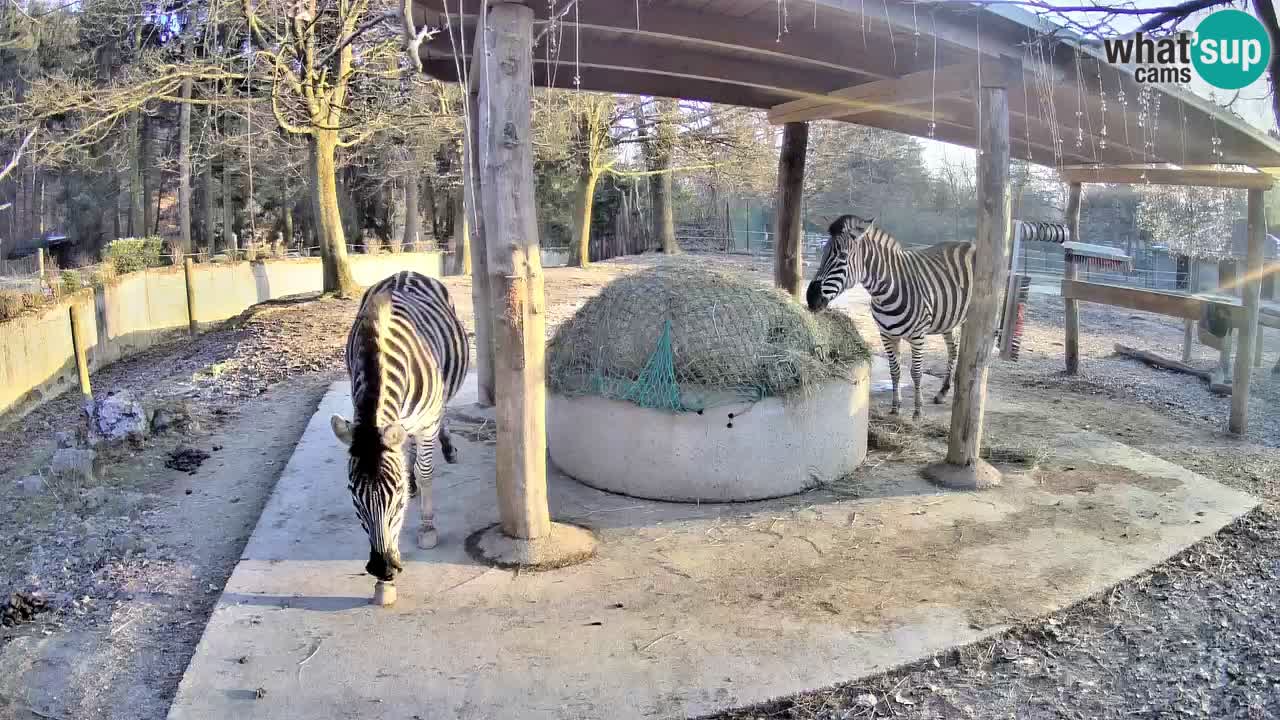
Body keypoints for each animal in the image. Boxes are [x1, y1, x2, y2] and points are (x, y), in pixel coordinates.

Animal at [330, 271, 471, 579]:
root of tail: (404, 272)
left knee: (441, 413)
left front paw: (427, 527)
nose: (383, 569)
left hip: (439, 397)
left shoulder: (427, 423)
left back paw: (447, 450)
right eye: (353, 495)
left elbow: (426, 471)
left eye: (395, 496)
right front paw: (410, 481)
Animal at [808, 210, 1070, 417]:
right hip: (948, 320)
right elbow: (895, 371)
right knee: (953, 351)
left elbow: (915, 372)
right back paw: (943, 392)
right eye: (822, 253)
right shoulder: (886, 335)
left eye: (842, 257)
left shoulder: (918, 335)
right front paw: (895, 407)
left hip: (972, 318)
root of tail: (971, 244)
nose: (810, 298)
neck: (886, 290)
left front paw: (917, 411)